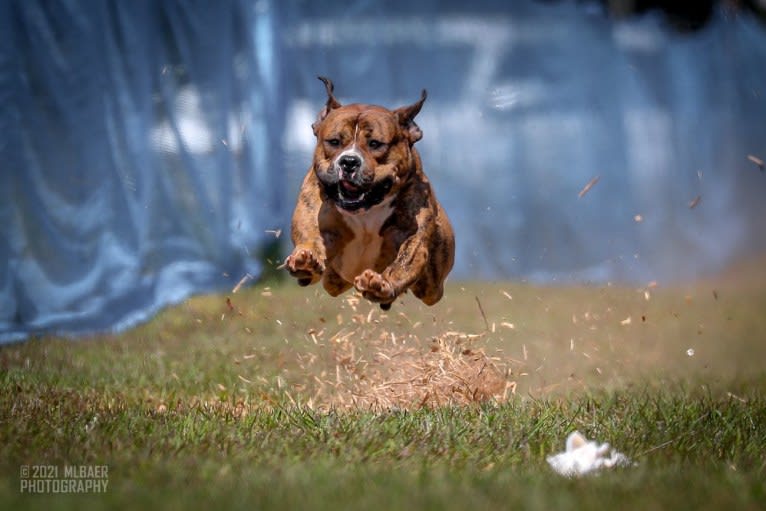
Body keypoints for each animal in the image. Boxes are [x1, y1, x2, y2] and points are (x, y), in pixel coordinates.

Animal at [288, 77, 456, 310]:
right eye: (334, 142)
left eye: (375, 144)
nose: (349, 161)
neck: (365, 210)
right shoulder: (318, 218)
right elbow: (311, 237)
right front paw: (306, 259)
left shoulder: (412, 235)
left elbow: (404, 261)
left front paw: (381, 284)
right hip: (333, 281)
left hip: (432, 285)